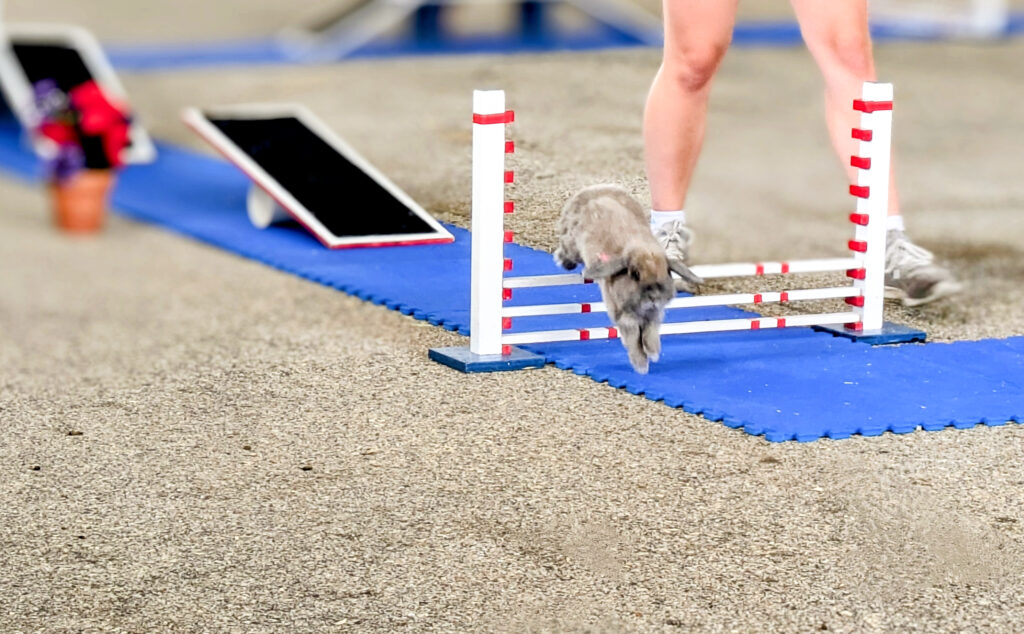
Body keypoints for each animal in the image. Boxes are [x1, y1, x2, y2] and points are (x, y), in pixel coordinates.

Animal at [552, 184, 704, 372]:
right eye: (635, 275)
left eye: (666, 272)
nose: (653, 297)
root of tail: (596, 188)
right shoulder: (623, 316)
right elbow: (633, 338)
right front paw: (641, 366)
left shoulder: (654, 315)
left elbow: (650, 333)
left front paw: (653, 352)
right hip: (571, 242)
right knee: (566, 252)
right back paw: (562, 260)